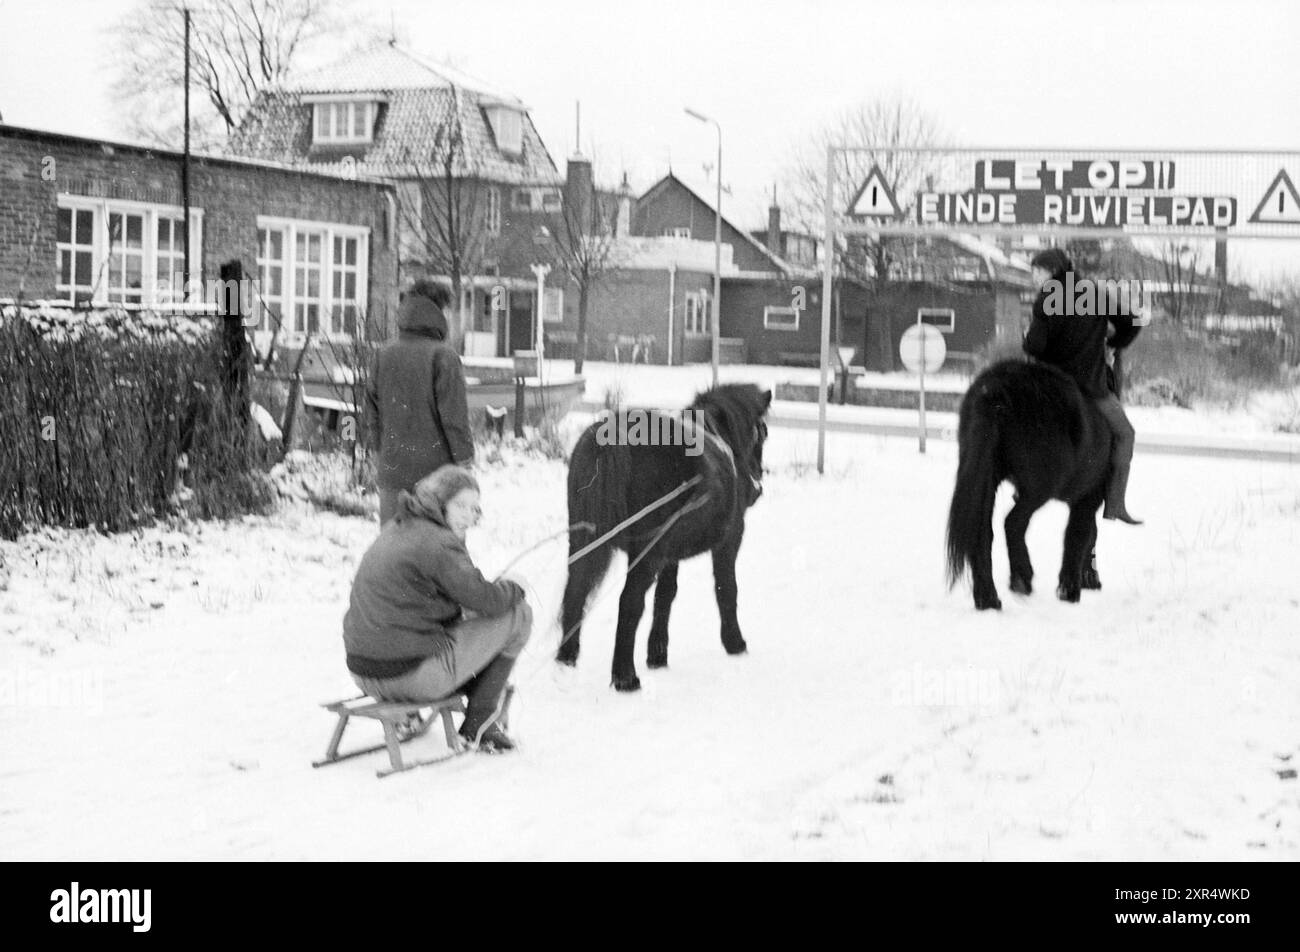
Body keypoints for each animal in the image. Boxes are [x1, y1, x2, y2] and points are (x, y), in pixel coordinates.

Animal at [561, 382, 769, 686]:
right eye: (761, 432)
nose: (756, 488)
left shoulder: (669, 555)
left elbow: (665, 596)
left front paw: (657, 655)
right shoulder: (729, 541)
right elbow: (726, 589)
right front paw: (735, 643)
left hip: (582, 542)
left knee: (576, 591)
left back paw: (566, 658)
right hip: (644, 554)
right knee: (629, 602)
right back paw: (625, 678)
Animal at [951, 356, 1112, 608]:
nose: (1093, 580)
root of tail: (996, 388)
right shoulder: (1089, 497)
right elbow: (1079, 535)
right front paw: (1070, 590)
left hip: (987, 478)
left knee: (983, 532)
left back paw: (988, 599)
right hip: (1038, 489)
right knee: (1013, 523)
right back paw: (1021, 579)